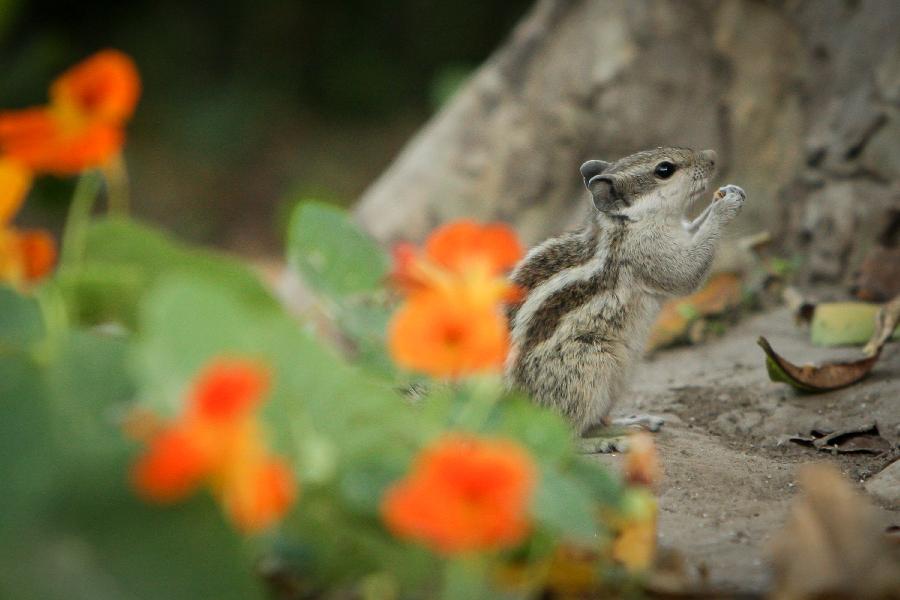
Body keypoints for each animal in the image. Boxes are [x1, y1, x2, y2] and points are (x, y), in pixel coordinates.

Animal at [506, 146, 744, 450]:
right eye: (664, 169)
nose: (712, 157)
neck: (624, 225)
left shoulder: (678, 233)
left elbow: (693, 229)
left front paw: (728, 192)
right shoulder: (651, 252)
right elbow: (687, 272)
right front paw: (724, 208)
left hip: (618, 378)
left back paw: (630, 423)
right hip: (587, 369)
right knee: (562, 437)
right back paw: (605, 442)